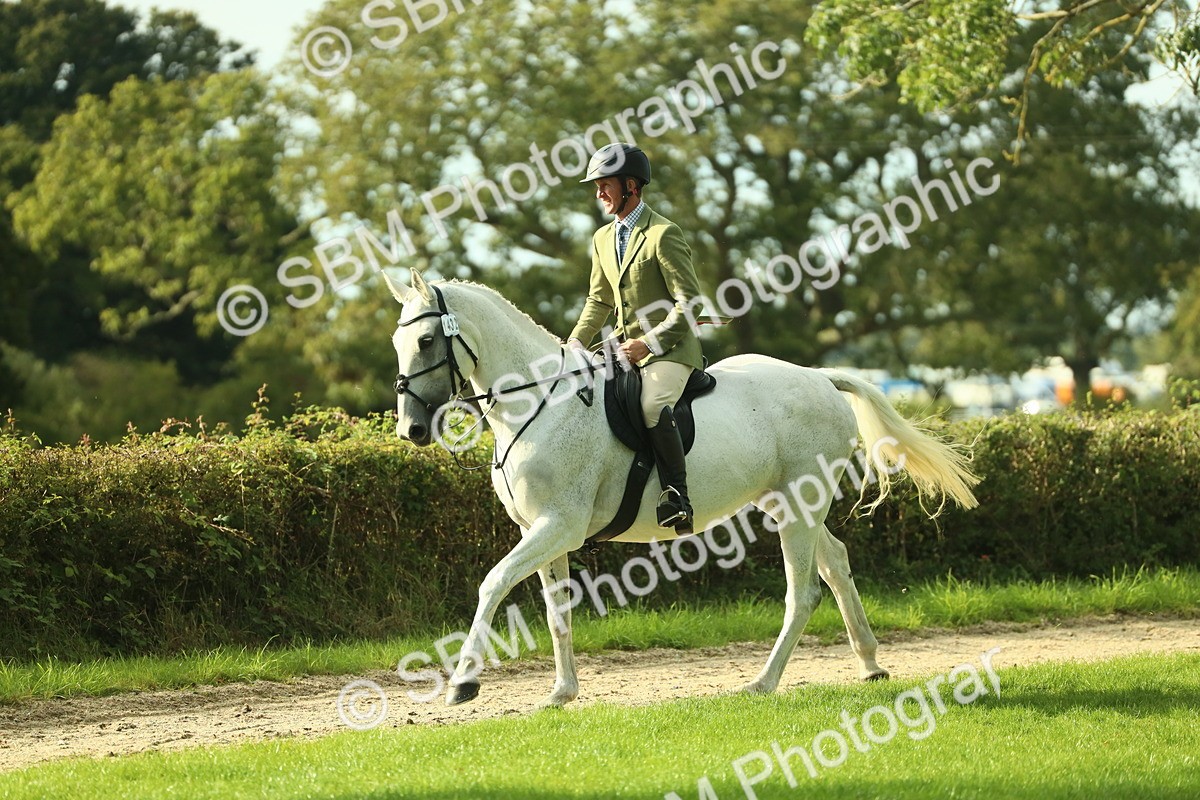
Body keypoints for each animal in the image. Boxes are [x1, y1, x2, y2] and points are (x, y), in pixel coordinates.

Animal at [385, 271, 979, 707]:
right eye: (398, 341)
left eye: (426, 339)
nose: (410, 430)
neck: (541, 403)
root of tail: (818, 377)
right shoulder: (540, 529)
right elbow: (557, 612)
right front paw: (562, 692)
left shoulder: (559, 527)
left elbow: (493, 583)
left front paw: (464, 683)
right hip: (789, 502)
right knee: (835, 562)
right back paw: (870, 663)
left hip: (798, 507)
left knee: (804, 590)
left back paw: (763, 683)